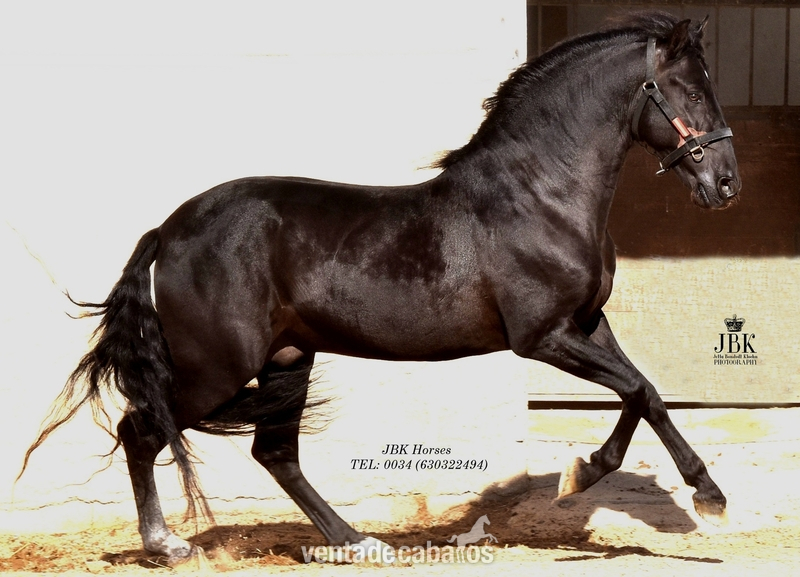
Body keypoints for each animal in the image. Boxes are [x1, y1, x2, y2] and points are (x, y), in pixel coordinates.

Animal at [20, 12, 740, 564]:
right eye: (685, 90)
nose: (727, 183)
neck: (539, 194)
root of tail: (167, 231)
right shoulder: (543, 337)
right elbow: (637, 389)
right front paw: (603, 479)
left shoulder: (588, 324)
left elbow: (645, 392)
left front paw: (688, 490)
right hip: (217, 368)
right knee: (142, 430)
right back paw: (167, 544)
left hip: (286, 359)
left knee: (273, 452)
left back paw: (356, 541)